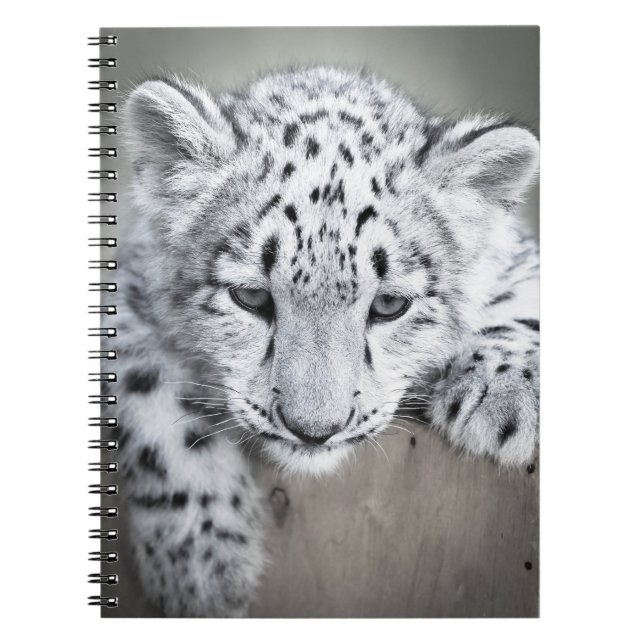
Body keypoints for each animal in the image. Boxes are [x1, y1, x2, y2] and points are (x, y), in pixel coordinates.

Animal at [105, 66, 540, 617]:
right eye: (250, 296)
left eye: (389, 304)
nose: (314, 430)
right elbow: (151, 395)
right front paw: (203, 557)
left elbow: (526, 291)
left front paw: (504, 400)